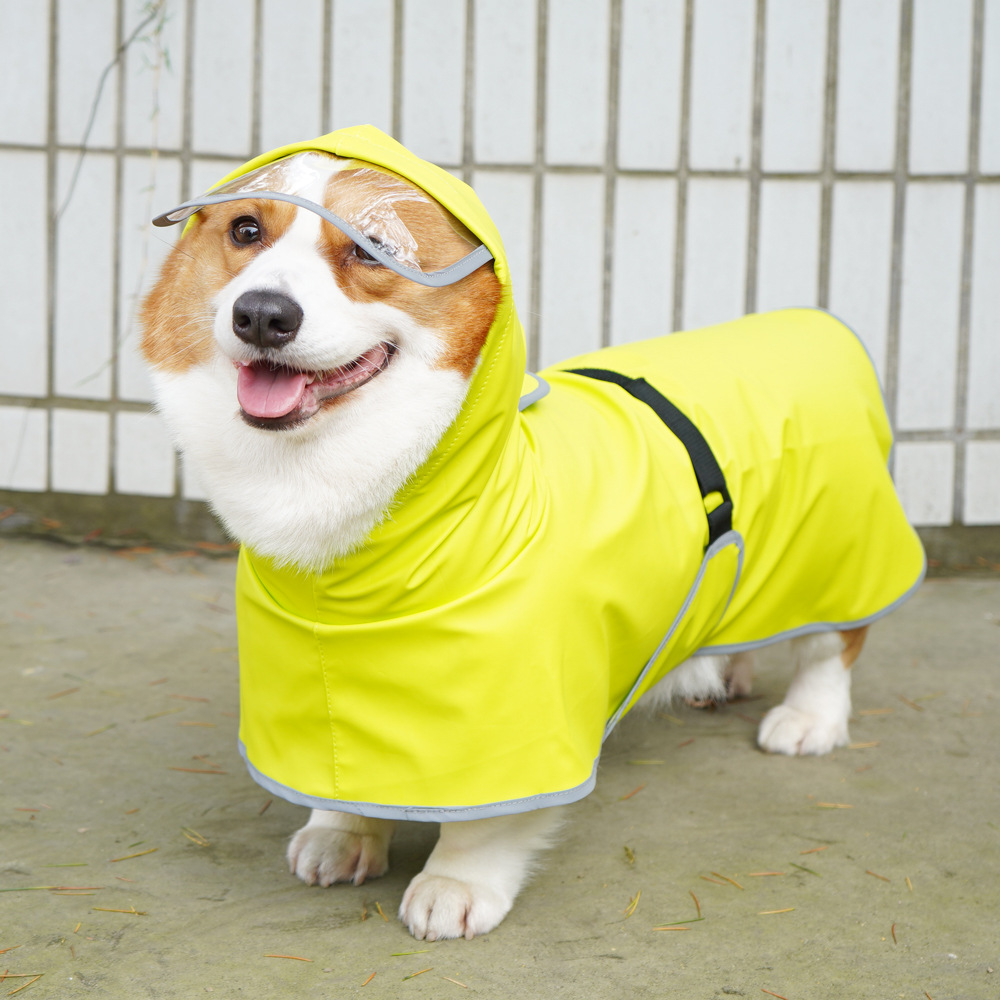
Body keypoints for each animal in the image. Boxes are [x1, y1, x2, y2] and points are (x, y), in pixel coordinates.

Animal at [141, 125, 920, 936]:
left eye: (372, 248)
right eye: (244, 230)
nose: (262, 315)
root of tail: (817, 324)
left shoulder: (520, 714)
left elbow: (485, 822)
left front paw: (455, 886)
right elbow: (345, 774)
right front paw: (340, 833)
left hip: (842, 550)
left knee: (834, 645)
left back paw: (808, 718)